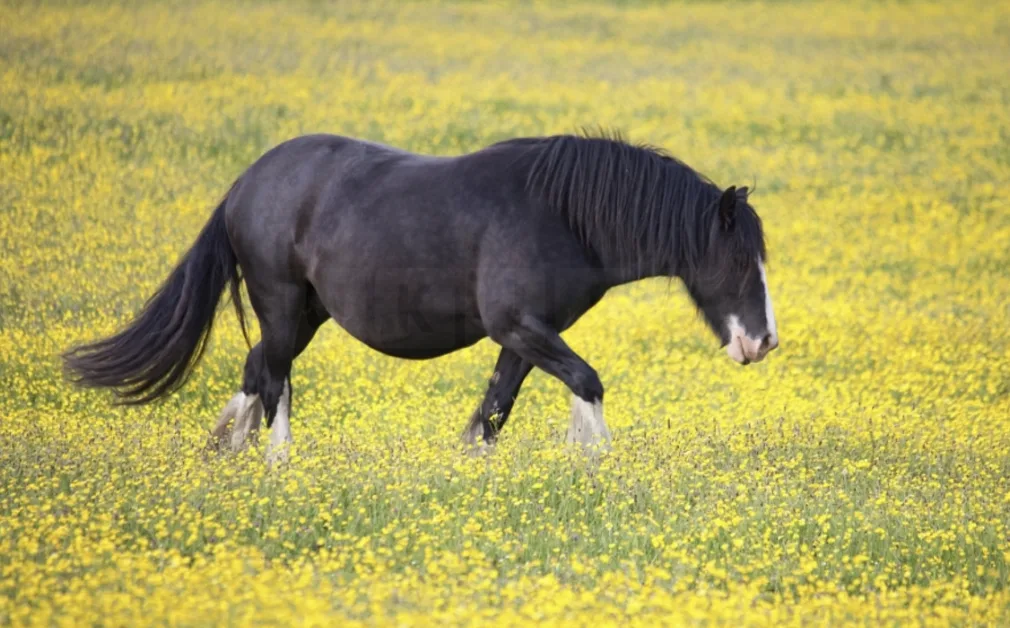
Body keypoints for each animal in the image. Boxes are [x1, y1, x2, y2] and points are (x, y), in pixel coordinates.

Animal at [63, 132, 778, 460]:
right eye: (738, 260)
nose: (762, 342)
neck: (562, 215)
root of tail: (247, 182)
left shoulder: (523, 337)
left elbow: (493, 413)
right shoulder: (519, 326)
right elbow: (587, 383)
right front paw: (596, 461)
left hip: (306, 313)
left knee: (256, 369)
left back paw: (226, 451)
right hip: (282, 304)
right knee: (274, 379)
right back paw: (277, 463)